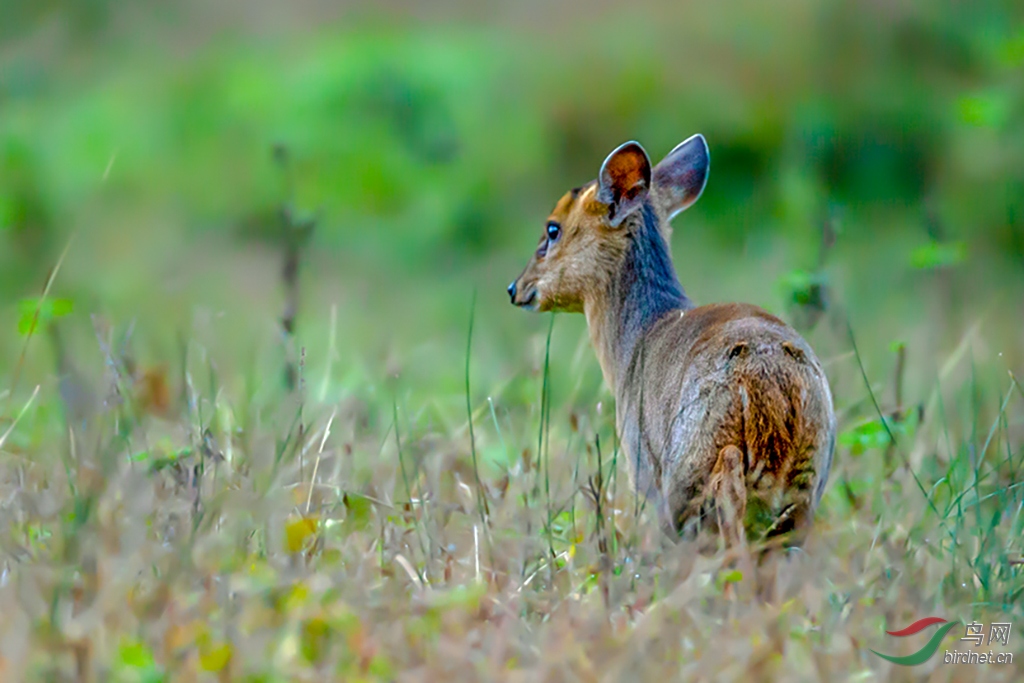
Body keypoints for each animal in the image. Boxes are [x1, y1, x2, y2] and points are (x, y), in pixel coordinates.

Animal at [507, 135, 835, 557]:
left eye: (552, 229)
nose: (515, 288)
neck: (637, 338)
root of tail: (769, 376)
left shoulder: (645, 468)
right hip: (808, 478)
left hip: (689, 472)